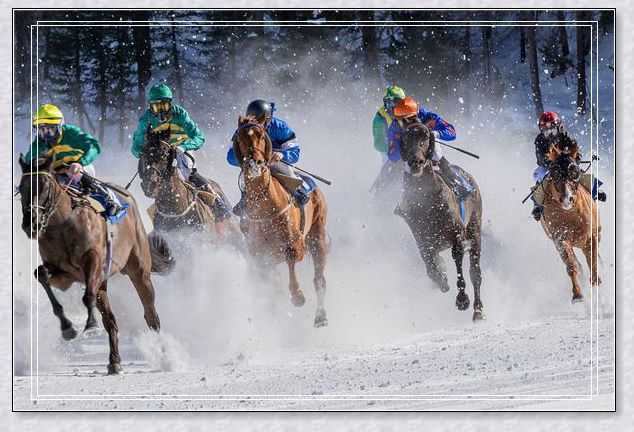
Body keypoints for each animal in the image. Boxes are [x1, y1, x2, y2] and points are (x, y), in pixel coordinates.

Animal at [19, 154, 173, 372]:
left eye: (45, 186)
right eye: (21, 187)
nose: (31, 223)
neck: (63, 225)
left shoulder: (93, 261)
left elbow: (88, 296)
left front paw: (91, 325)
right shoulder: (64, 274)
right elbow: (40, 274)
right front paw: (68, 328)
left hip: (139, 270)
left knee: (151, 315)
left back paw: (165, 356)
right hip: (104, 281)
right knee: (110, 320)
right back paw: (114, 361)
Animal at [233, 115, 330, 328]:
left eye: (261, 135)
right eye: (240, 137)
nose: (254, 163)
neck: (265, 205)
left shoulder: (297, 243)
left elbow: (291, 257)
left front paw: (298, 295)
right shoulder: (259, 254)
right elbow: (271, 283)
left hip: (317, 235)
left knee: (319, 280)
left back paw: (321, 317)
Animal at [392, 120, 482, 322]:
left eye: (425, 137)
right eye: (405, 139)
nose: (415, 162)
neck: (427, 202)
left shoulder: (457, 235)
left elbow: (458, 261)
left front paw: (462, 300)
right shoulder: (423, 240)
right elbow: (431, 268)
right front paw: (442, 280)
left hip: (475, 230)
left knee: (475, 273)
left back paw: (478, 310)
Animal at [536, 140, 600, 302]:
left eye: (574, 172)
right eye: (555, 173)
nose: (566, 199)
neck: (570, 215)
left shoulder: (591, 236)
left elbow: (593, 261)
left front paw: (596, 284)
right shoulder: (560, 240)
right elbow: (571, 265)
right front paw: (577, 294)